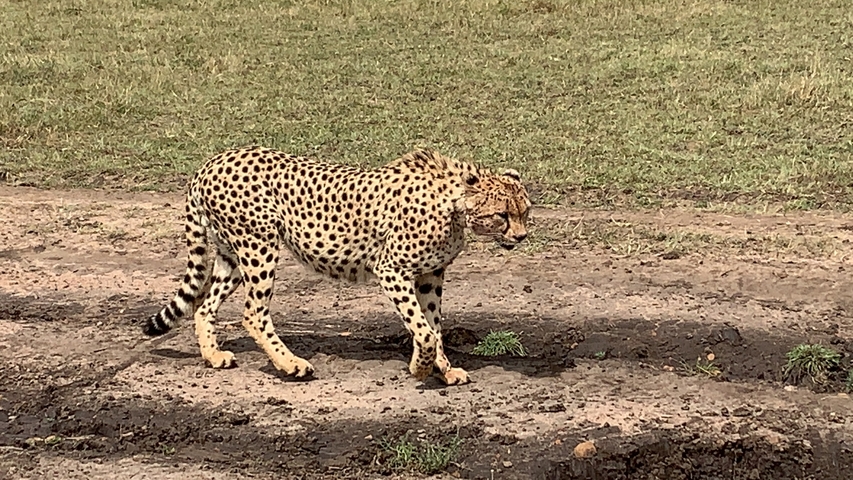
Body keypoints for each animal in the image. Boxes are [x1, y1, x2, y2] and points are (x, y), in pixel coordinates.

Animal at [142, 146, 531, 385]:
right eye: (502, 215)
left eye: (525, 212)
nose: (522, 236)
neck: (453, 205)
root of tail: (212, 161)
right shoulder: (392, 270)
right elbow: (423, 330)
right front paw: (420, 369)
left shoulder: (429, 276)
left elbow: (434, 328)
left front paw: (445, 371)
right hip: (259, 247)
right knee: (253, 313)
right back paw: (290, 364)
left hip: (232, 255)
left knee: (204, 305)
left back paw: (213, 355)